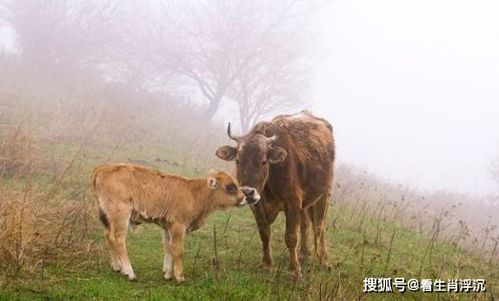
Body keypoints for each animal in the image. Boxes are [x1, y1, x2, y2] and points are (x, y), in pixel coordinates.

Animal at [91, 162, 260, 282]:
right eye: (230, 187)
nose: (245, 198)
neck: (194, 192)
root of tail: (101, 169)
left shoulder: (168, 227)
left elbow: (168, 248)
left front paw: (167, 273)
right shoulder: (179, 227)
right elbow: (178, 250)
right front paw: (180, 277)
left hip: (107, 218)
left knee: (108, 236)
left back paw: (117, 267)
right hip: (121, 216)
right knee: (118, 239)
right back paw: (129, 273)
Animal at [216, 110, 336, 278]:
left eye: (264, 161)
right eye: (238, 160)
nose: (248, 192)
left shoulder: (292, 202)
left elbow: (291, 236)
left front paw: (294, 271)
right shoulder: (257, 205)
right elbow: (264, 233)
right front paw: (267, 264)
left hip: (324, 193)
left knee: (319, 224)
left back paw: (324, 260)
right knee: (305, 223)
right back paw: (303, 254)